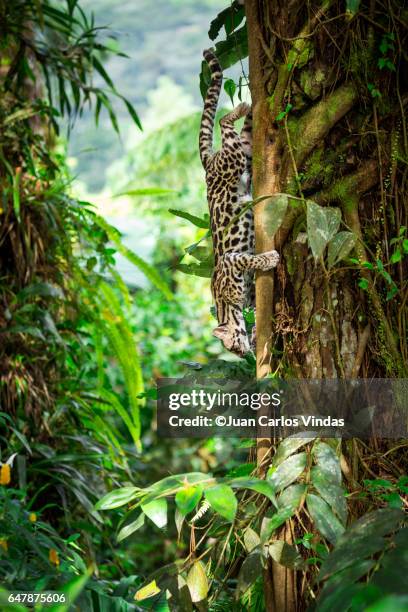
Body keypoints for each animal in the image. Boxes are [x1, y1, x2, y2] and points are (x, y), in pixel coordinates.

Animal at [199, 51, 278, 358]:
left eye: (231, 346)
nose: (245, 354)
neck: (227, 307)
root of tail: (209, 164)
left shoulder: (229, 262)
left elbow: (247, 258)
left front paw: (270, 257)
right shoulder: (250, 293)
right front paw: (257, 335)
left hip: (232, 158)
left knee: (223, 123)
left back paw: (240, 106)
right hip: (243, 150)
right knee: (246, 129)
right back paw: (254, 102)